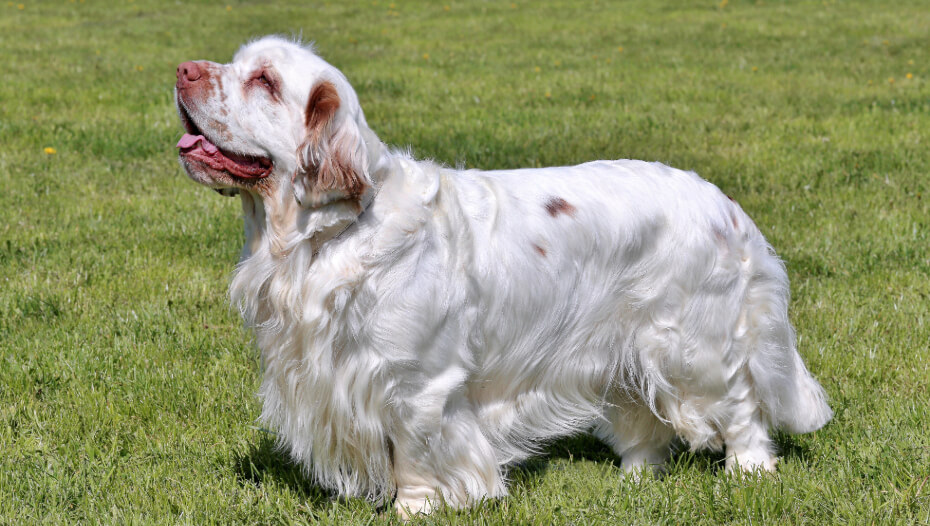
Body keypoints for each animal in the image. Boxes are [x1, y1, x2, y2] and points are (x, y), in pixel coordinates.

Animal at [176, 37, 832, 520]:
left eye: (264, 81)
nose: (182, 70)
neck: (327, 236)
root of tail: (726, 205)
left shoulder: (419, 383)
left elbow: (414, 453)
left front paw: (413, 510)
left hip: (692, 345)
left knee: (741, 403)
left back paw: (750, 470)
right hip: (623, 345)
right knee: (643, 415)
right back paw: (634, 478)